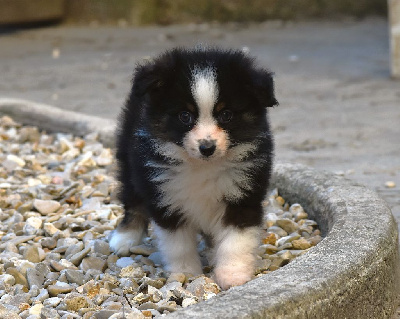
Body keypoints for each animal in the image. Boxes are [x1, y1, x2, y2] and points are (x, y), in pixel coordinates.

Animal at [109, 47, 278, 290]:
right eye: (184, 116)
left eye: (226, 115)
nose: (207, 147)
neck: (202, 166)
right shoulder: (165, 195)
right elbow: (178, 244)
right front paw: (186, 273)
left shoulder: (243, 195)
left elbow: (235, 241)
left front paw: (232, 275)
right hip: (129, 160)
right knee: (133, 200)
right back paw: (125, 237)